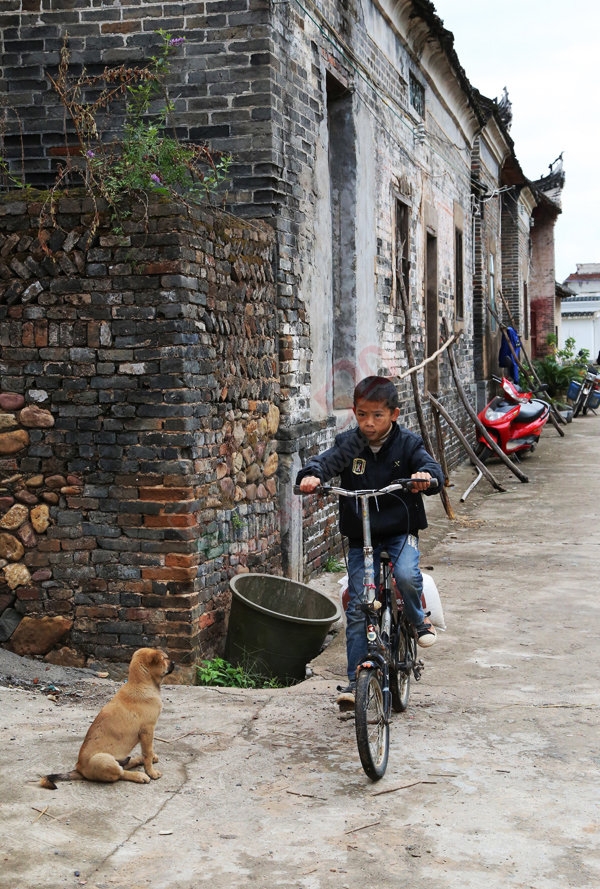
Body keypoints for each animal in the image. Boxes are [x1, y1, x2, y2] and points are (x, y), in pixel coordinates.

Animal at [39, 644, 173, 792]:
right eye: (165, 658)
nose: (174, 663)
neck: (141, 683)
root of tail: (79, 769)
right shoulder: (147, 731)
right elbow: (147, 753)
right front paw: (151, 772)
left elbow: (148, 752)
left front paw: (150, 761)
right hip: (104, 761)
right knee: (121, 772)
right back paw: (140, 776)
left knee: (125, 764)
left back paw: (139, 761)